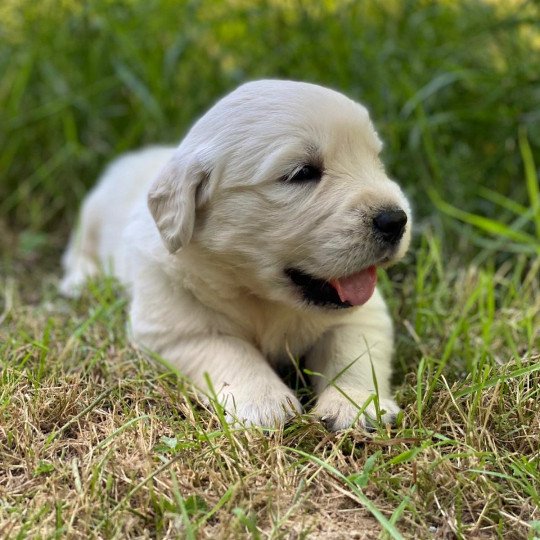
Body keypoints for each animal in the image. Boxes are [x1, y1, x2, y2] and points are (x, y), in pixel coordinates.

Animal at [61, 81, 412, 430]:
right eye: (301, 173)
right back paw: (80, 281)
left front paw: (358, 405)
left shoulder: (364, 316)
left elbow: (352, 353)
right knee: (78, 249)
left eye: (375, 160)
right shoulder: (175, 329)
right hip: (91, 212)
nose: (396, 220)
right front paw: (265, 403)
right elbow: (232, 351)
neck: (260, 296)